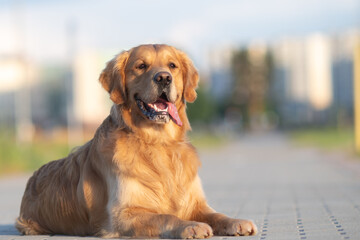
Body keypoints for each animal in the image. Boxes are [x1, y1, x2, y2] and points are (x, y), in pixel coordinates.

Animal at [15, 43, 258, 238]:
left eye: (172, 65)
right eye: (141, 66)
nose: (164, 78)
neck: (158, 143)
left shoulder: (196, 202)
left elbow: (216, 214)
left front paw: (236, 222)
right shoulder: (123, 214)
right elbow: (166, 217)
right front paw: (191, 226)